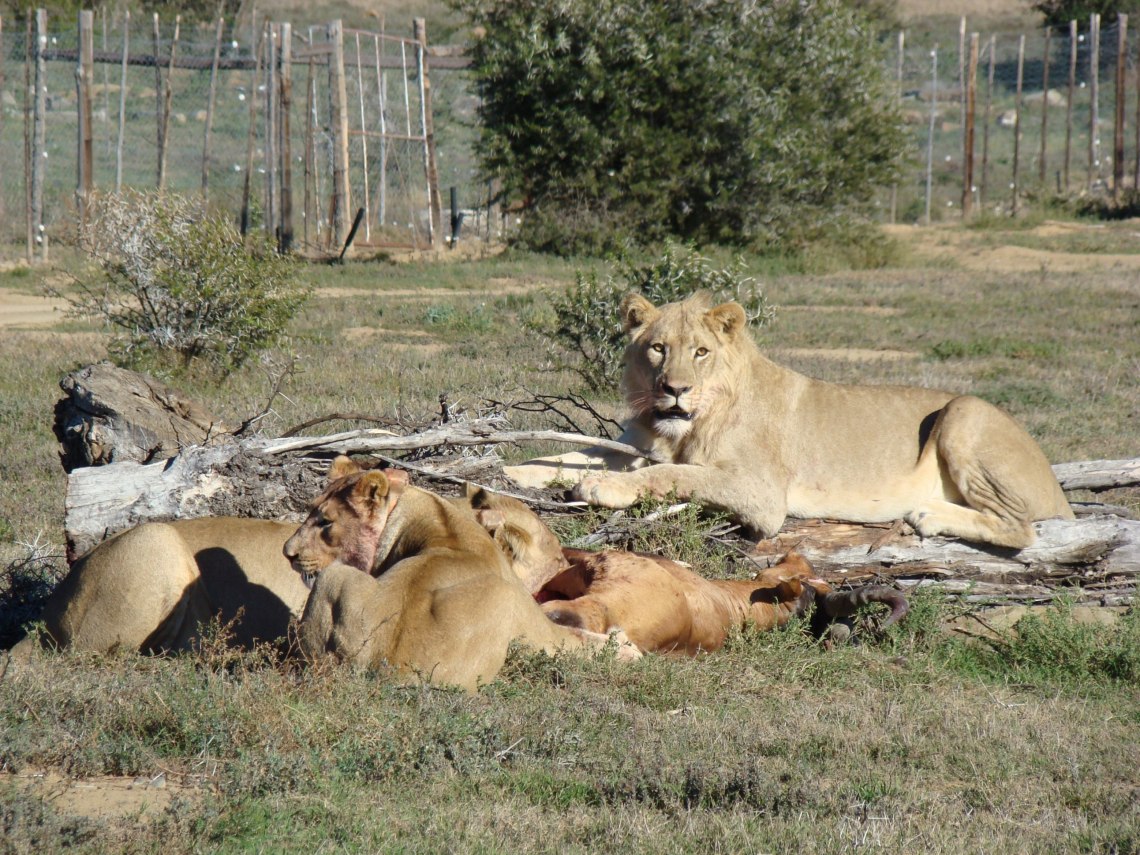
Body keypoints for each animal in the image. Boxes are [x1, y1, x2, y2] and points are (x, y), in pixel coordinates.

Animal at [283, 456, 640, 692]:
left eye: (324, 521)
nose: (288, 553)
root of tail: (386, 671)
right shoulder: (538, 629)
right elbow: (579, 640)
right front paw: (626, 648)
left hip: (334, 579)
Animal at [567, 293, 1073, 549]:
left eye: (701, 352)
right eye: (658, 348)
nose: (675, 389)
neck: (679, 427)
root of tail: (1060, 493)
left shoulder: (762, 496)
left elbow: (674, 474)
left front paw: (604, 488)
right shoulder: (634, 446)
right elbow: (571, 456)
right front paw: (561, 473)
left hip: (965, 409)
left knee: (1022, 528)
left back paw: (929, 515)